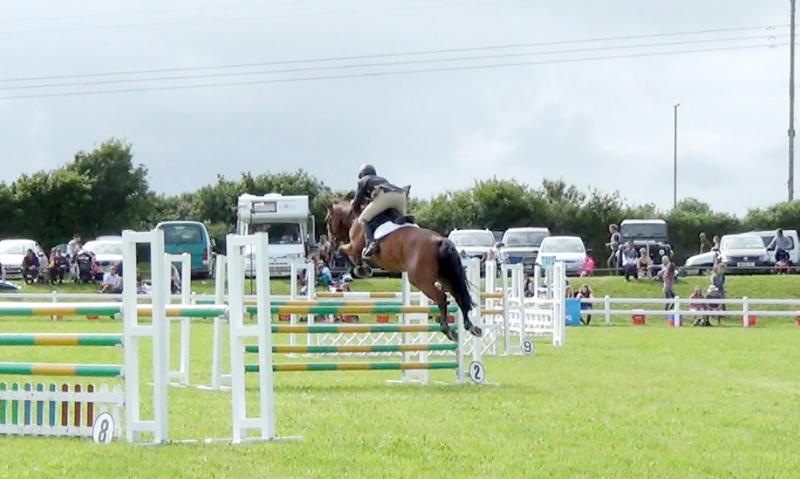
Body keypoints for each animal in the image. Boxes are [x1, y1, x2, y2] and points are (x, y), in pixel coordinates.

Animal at [324, 191, 482, 342]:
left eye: (328, 220)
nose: (330, 242)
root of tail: (440, 241)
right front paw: (361, 269)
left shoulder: (354, 247)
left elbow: (344, 252)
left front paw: (359, 269)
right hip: (446, 277)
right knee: (459, 296)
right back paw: (471, 327)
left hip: (420, 280)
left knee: (441, 297)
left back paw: (448, 330)